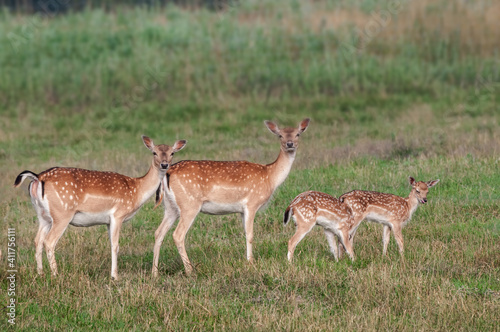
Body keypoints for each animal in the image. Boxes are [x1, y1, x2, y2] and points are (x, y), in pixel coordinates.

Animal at [13, 136, 186, 278]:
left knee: (37, 240)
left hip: (43, 215)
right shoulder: (118, 214)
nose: (164, 164)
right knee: (49, 241)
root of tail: (37, 178)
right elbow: (116, 245)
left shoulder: (108, 221)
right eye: (154, 152)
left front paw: (113, 274)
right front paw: (115, 276)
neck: (136, 190)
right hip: (62, 213)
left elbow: (111, 245)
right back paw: (56, 275)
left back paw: (40, 273)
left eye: (172, 153)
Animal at [150, 118, 310, 276]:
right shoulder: (252, 203)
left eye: (298, 134)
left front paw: (247, 260)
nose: (290, 144)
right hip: (189, 204)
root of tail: (167, 174)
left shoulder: (241, 210)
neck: (269, 176)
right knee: (178, 235)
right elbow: (251, 234)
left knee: (159, 232)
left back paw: (155, 273)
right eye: (280, 135)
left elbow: (245, 233)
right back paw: (190, 271)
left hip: (170, 207)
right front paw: (251, 263)